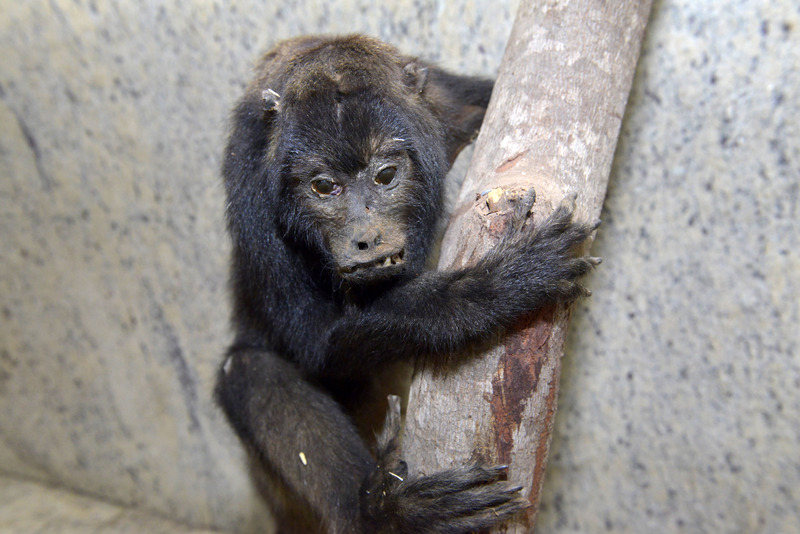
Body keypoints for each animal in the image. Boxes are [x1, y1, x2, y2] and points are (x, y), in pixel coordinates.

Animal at [215, 35, 599, 533]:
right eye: (323, 186)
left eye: (385, 175)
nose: (365, 237)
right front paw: (494, 287)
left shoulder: (446, 100)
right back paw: (385, 511)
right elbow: (314, 342)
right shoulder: (251, 192)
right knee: (247, 370)